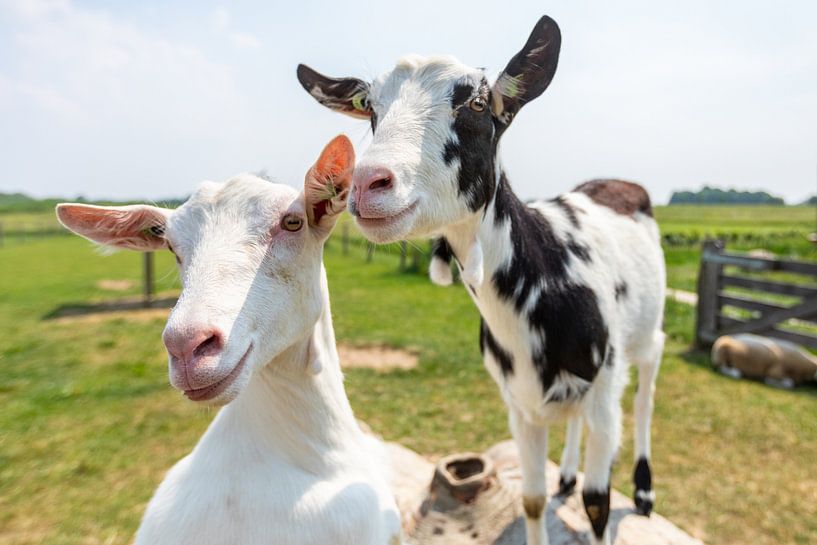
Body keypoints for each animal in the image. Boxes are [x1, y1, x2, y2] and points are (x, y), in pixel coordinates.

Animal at [298, 16, 666, 545]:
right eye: (370, 108)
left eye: (475, 103)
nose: (367, 184)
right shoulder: (520, 404)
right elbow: (530, 499)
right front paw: (551, 491)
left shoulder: (602, 388)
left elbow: (597, 503)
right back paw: (566, 477)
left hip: (645, 339)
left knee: (644, 399)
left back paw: (643, 490)